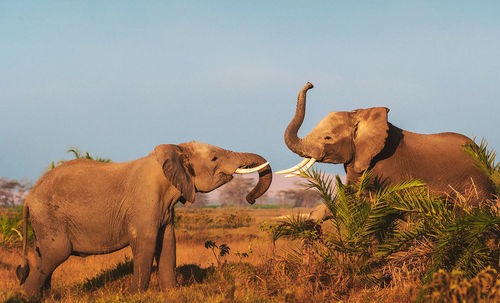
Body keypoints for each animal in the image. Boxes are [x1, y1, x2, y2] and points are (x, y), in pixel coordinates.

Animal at [17, 142, 272, 296]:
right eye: (214, 158)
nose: (249, 198)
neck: (176, 149)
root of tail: (28, 198)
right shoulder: (144, 203)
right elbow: (147, 242)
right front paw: (136, 295)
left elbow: (168, 242)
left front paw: (171, 293)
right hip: (49, 215)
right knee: (55, 253)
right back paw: (25, 297)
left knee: (42, 255)